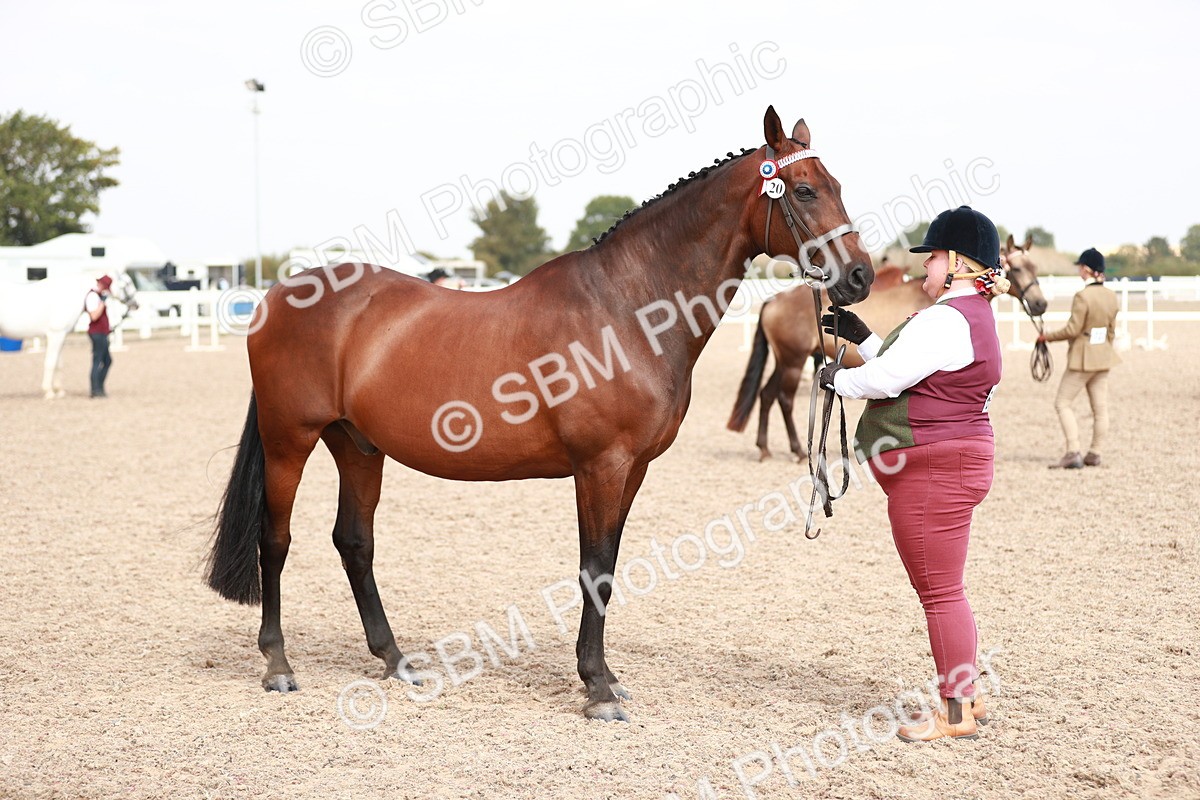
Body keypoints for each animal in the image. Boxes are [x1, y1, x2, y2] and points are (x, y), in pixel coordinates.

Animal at [0, 272, 138, 398]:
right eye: (127, 283)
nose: (136, 305)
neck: (69, 296)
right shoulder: (56, 335)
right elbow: (50, 362)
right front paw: (49, 392)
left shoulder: (60, 336)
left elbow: (58, 364)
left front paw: (59, 391)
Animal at [205, 107, 875, 722]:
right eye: (807, 189)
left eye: (839, 183)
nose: (860, 276)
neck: (625, 309)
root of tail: (277, 296)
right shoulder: (600, 467)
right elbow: (594, 568)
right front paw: (597, 690)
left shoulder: (632, 470)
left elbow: (608, 568)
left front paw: (606, 677)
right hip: (290, 440)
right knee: (276, 539)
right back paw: (278, 665)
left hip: (358, 446)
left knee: (354, 542)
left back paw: (396, 660)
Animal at [727, 234, 1048, 461]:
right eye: (1018, 268)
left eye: (1036, 267)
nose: (1040, 304)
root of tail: (774, 300)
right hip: (793, 362)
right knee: (783, 398)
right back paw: (793, 450)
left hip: (786, 360)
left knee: (767, 395)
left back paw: (767, 448)